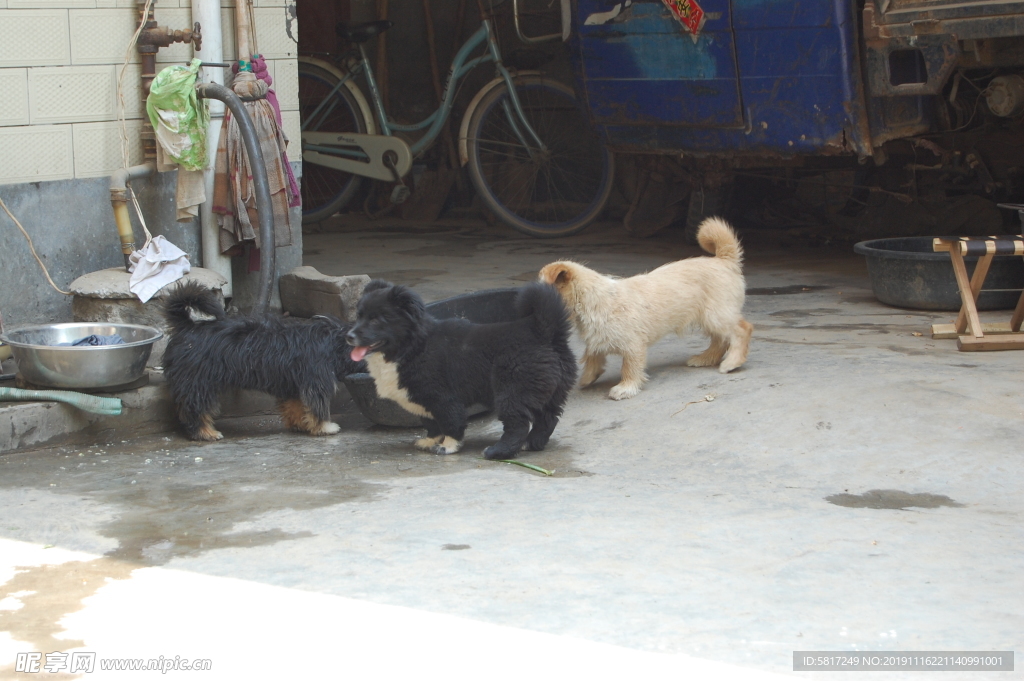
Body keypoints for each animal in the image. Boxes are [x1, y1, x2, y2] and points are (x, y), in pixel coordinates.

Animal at [348, 278, 577, 458]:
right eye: (358, 316)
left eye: (376, 320)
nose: (349, 336)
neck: (411, 346)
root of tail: (541, 331)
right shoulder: (423, 401)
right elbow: (431, 424)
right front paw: (430, 441)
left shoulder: (443, 398)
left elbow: (451, 423)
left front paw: (448, 447)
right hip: (549, 392)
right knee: (547, 419)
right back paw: (532, 443)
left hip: (512, 392)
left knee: (517, 425)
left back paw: (497, 452)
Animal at [540, 216, 749, 399]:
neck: (591, 300)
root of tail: (724, 259)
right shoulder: (597, 340)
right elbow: (592, 356)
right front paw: (588, 377)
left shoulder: (633, 346)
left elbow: (629, 367)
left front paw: (626, 388)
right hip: (710, 318)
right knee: (720, 340)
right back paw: (705, 359)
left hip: (716, 316)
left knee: (742, 330)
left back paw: (732, 362)